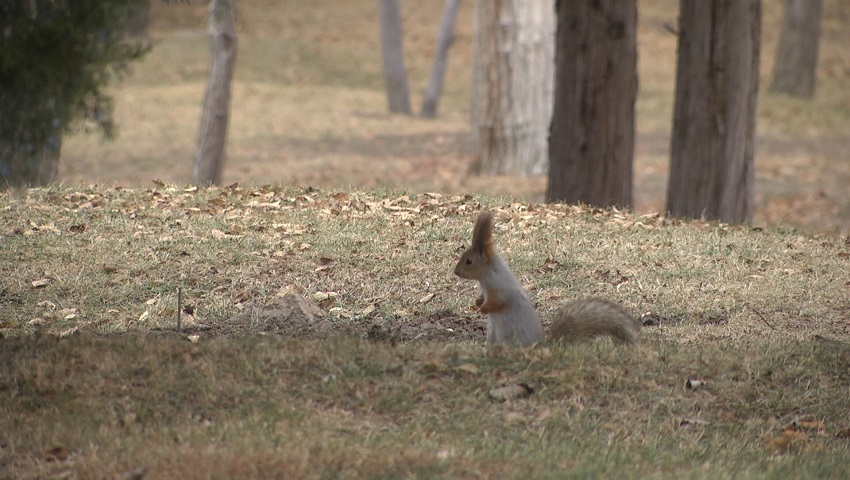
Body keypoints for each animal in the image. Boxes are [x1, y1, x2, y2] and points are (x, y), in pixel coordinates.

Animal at [454, 210, 640, 344]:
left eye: (469, 261)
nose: (455, 272)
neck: (486, 275)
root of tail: (539, 346)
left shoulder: (501, 286)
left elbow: (499, 301)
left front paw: (484, 308)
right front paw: (478, 302)